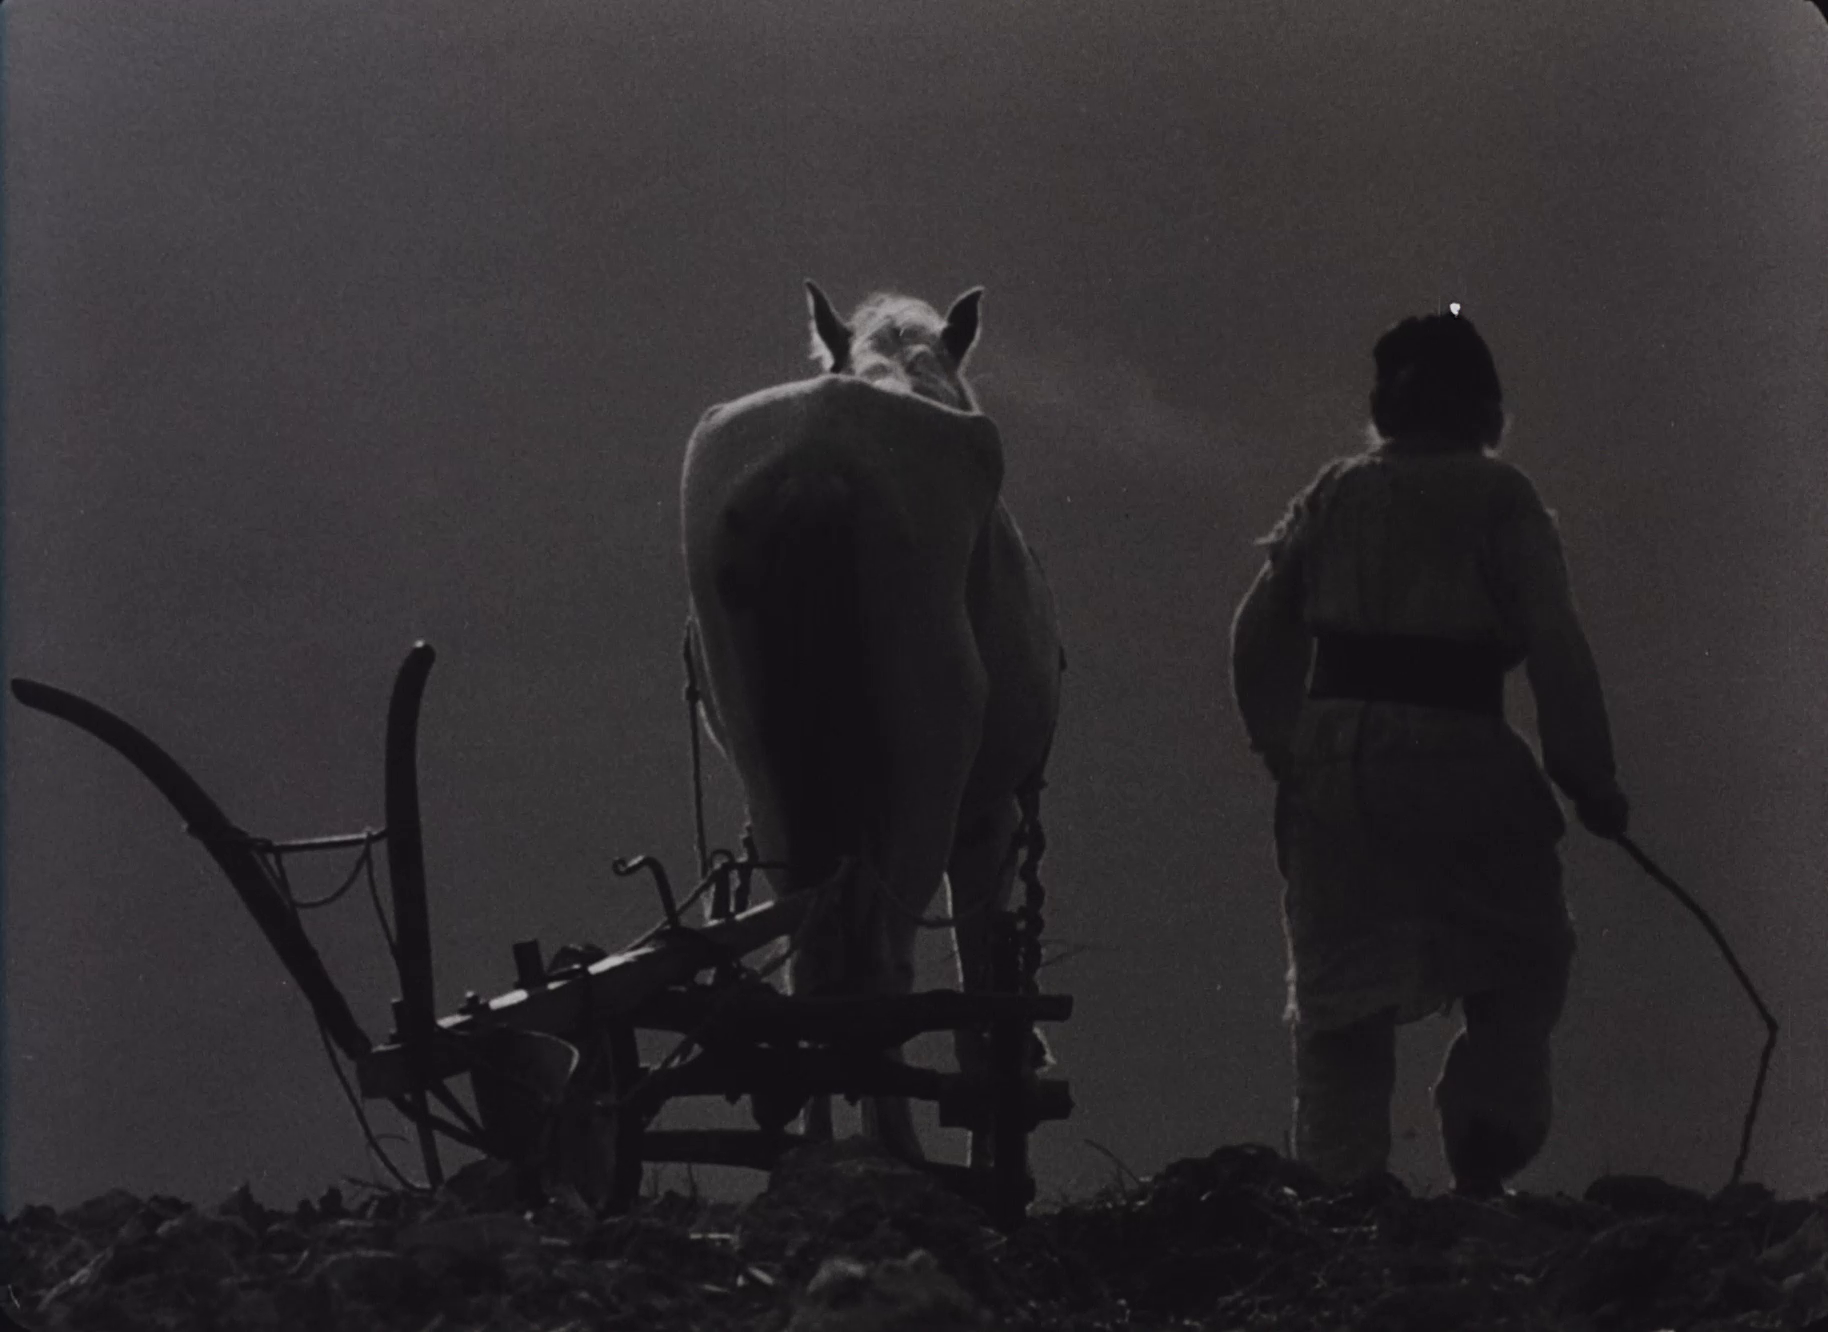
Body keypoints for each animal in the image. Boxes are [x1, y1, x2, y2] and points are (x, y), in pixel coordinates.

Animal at [679, 281, 1063, 1165]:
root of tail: (819, 463)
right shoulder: (985, 814)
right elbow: (980, 982)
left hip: (774, 781)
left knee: (812, 959)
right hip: (927, 773)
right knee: (883, 967)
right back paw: (901, 1155)